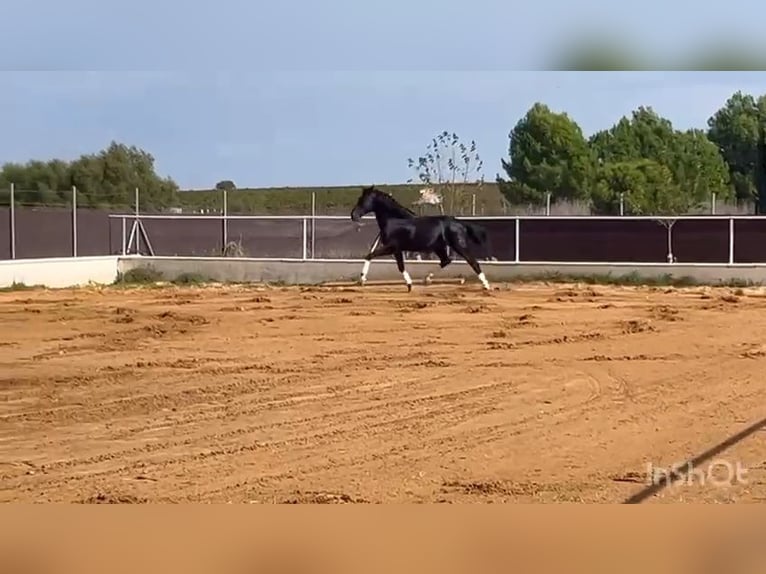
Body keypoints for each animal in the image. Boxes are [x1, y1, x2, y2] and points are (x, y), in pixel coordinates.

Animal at [350, 186, 492, 290]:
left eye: (363, 200)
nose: (353, 215)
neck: (394, 220)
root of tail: (458, 222)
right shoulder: (397, 250)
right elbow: (400, 266)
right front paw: (409, 284)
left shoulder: (392, 247)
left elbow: (370, 255)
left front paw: (362, 279)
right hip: (439, 248)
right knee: (446, 261)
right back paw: (427, 279)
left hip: (458, 245)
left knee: (472, 262)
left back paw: (486, 285)